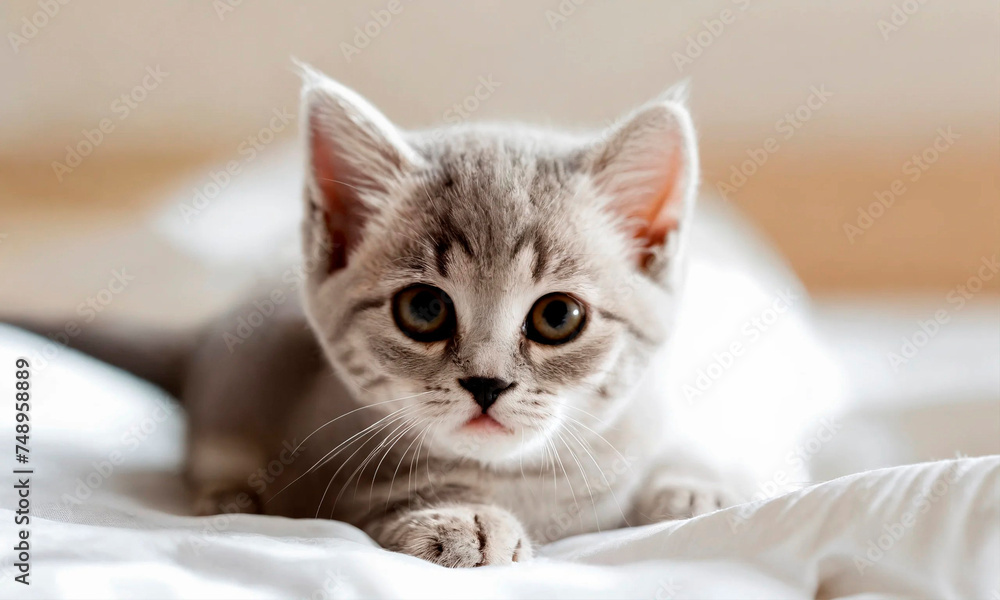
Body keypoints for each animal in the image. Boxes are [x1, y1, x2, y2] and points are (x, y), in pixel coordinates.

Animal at [19, 65, 752, 568]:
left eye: (558, 316)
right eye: (424, 309)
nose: (487, 384)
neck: (536, 481)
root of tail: (202, 340)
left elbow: (675, 451)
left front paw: (697, 488)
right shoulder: (324, 473)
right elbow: (384, 497)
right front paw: (462, 520)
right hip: (240, 380)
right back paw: (227, 495)